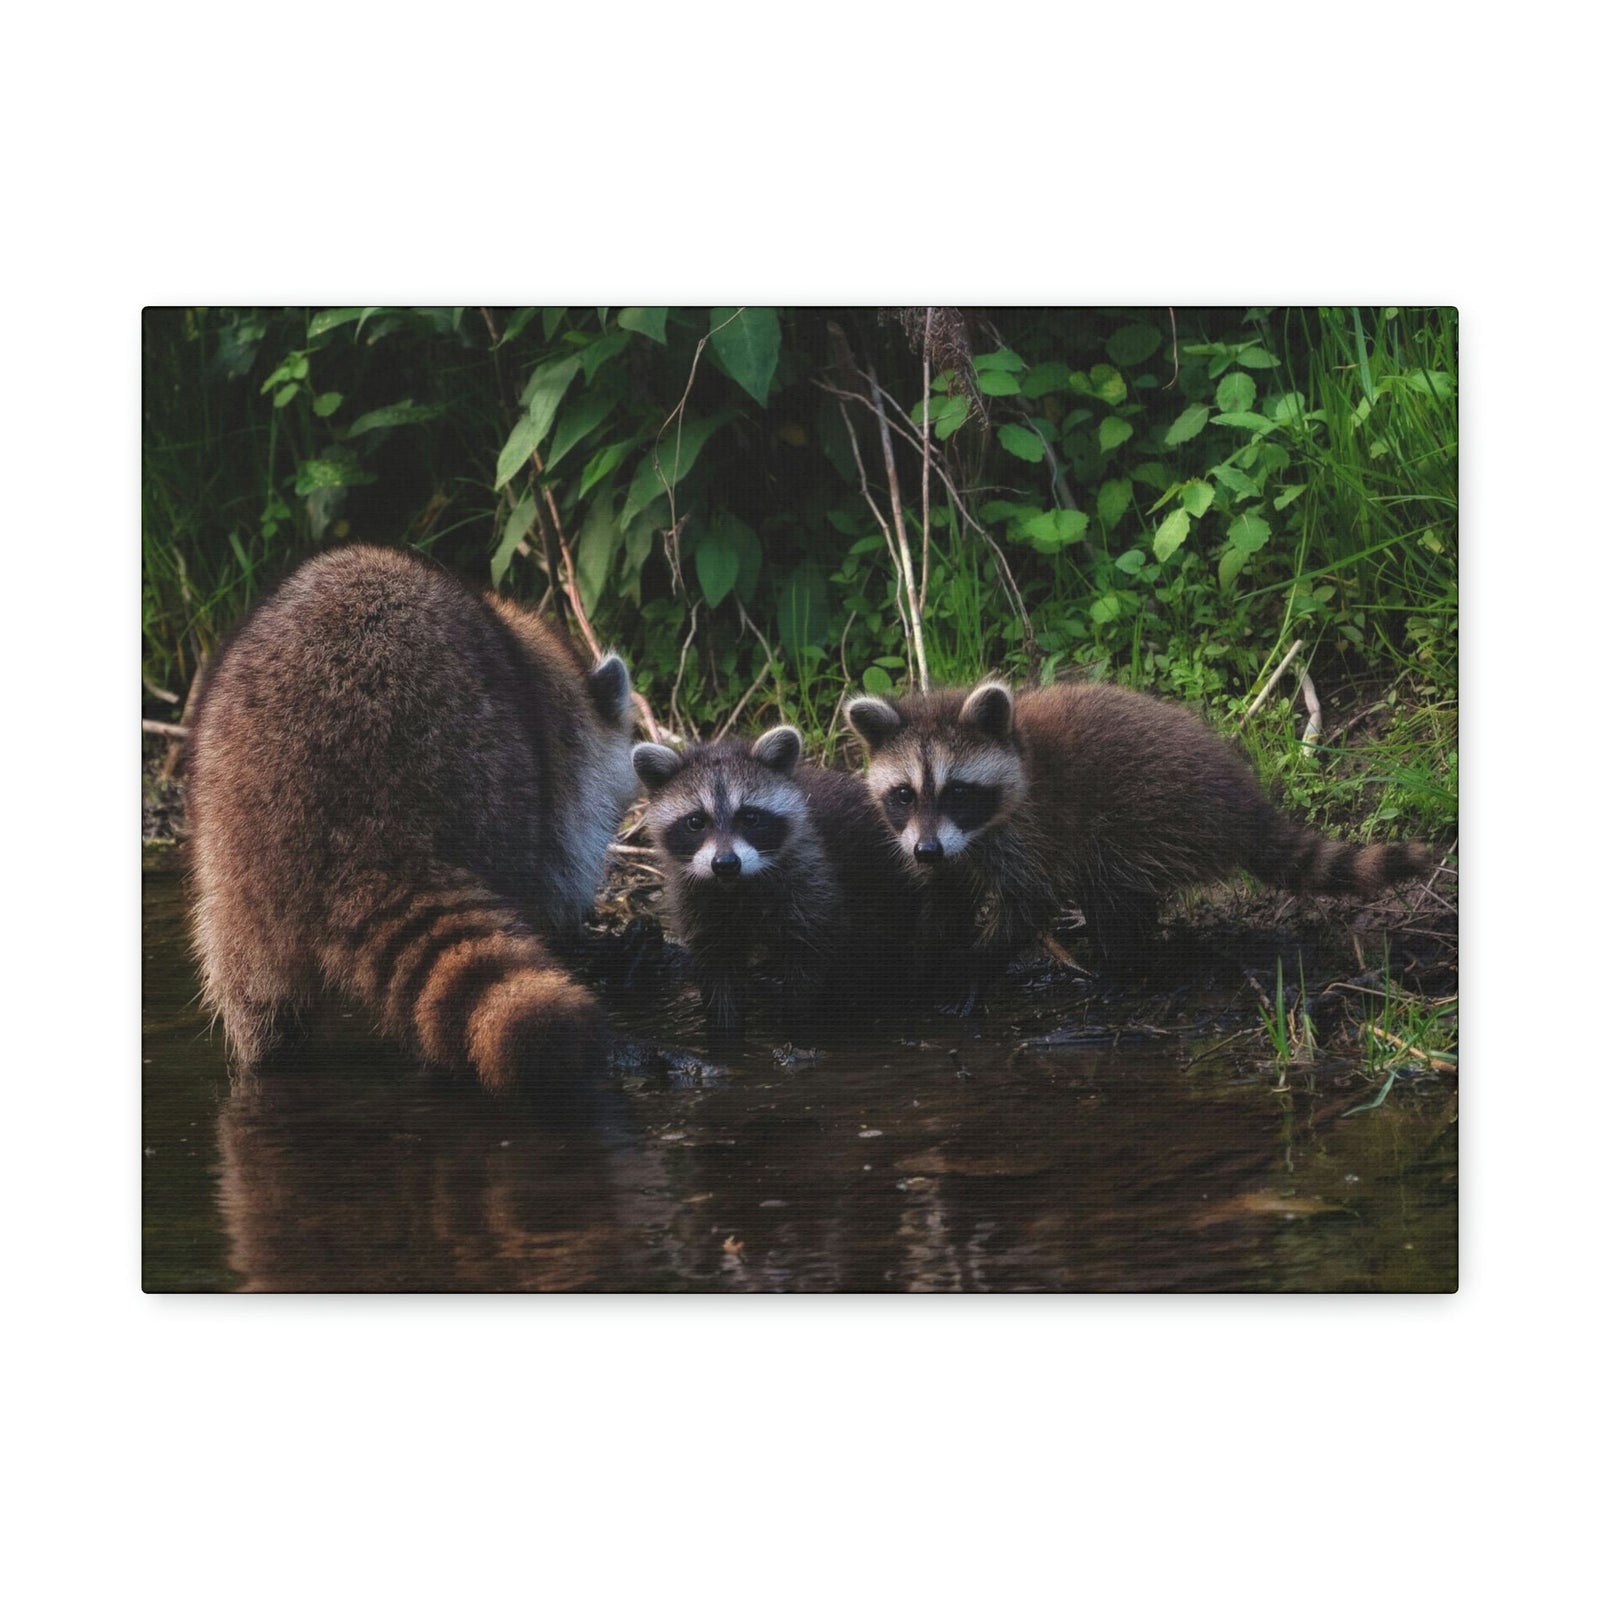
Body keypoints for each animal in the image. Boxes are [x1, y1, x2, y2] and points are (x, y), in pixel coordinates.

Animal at [631, 727, 917, 1033]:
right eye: (696, 821)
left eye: (750, 817)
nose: (725, 864)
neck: (736, 884)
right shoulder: (698, 901)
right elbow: (718, 971)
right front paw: (724, 1029)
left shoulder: (811, 881)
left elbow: (809, 964)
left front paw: (795, 1024)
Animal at [845, 679, 1438, 975]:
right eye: (904, 795)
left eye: (959, 792)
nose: (925, 851)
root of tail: (1246, 802)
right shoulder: (948, 846)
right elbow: (947, 894)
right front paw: (929, 949)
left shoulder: (1036, 832)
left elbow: (1030, 902)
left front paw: (974, 959)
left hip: (1154, 817)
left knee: (1110, 883)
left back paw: (1121, 956)